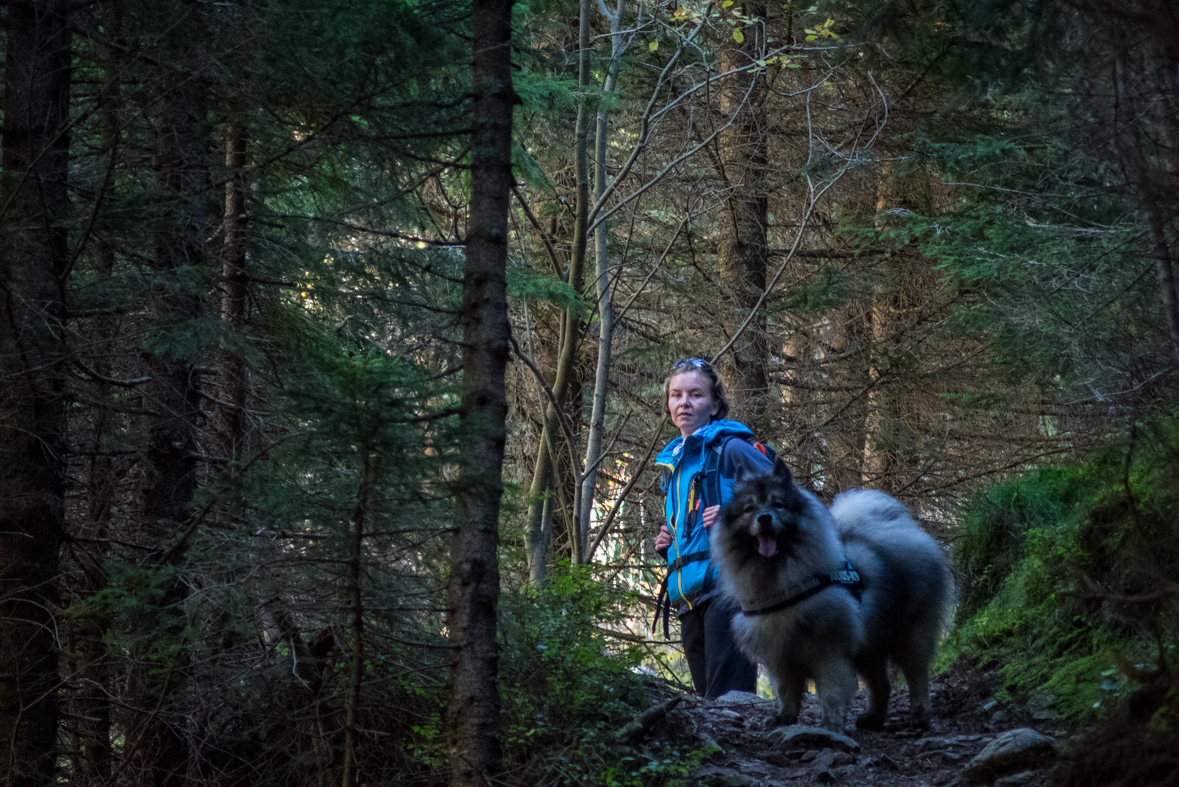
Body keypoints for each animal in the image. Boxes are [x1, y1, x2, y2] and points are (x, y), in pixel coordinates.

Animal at [707, 461, 947, 730]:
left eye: (778, 504)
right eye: (749, 509)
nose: (765, 517)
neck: (781, 579)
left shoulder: (829, 651)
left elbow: (831, 691)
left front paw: (831, 722)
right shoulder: (779, 656)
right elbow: (786, 692)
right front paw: (784, 717)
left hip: (909, 636)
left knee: (917, 677)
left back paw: (919, 716)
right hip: (869, 645)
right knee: (881, 684)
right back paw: (873, 717)